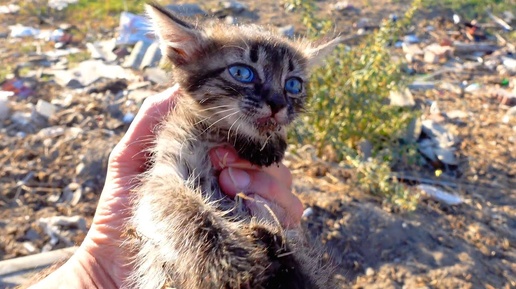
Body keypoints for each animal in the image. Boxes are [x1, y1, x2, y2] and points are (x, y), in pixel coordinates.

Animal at [127, 2, 340, 288]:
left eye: (294, 84)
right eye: (242, 73)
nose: (277, 103)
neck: (223, 135)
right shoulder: (164, 174)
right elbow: (190, 211)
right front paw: (231, 265)